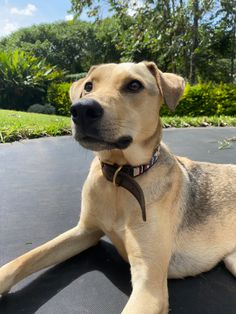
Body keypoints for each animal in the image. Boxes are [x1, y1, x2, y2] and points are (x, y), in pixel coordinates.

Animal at [0, 60, 236, 312]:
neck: (119, 177)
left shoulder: (149, 285)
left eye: (134, 85)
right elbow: (24, 260)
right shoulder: (85, 231)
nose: (81, 110)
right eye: (88, 86)